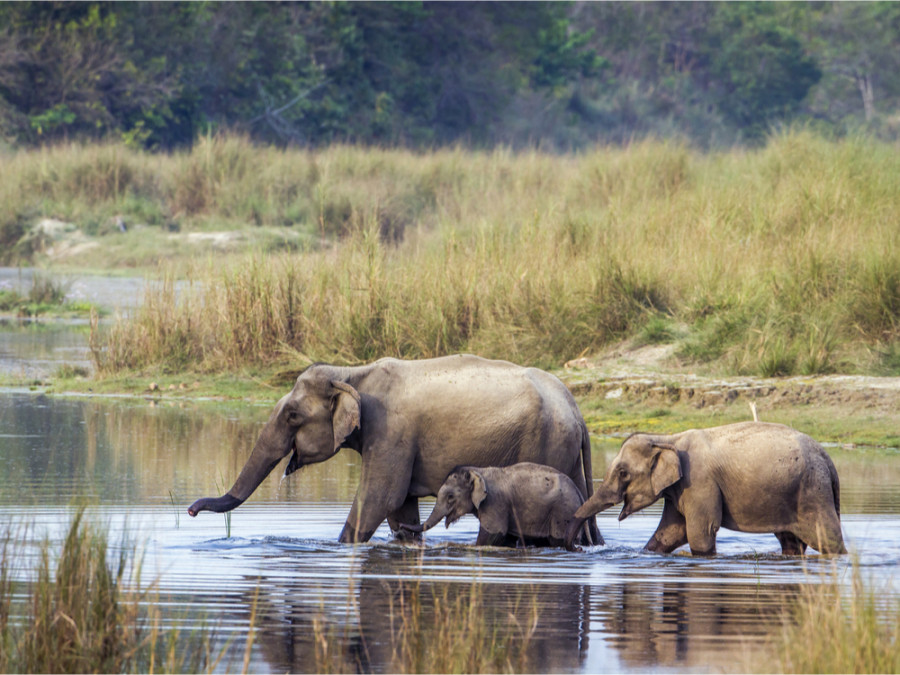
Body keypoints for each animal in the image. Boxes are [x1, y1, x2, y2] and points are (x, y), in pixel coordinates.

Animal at [400, 462, 596, 552]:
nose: (401, 527)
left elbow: (492, 536)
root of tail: (579, 493)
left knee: (557, 540)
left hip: (563, 512)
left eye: (450, 497)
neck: (478, 470)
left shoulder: (495, 503)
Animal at [568, 422, 848, 560]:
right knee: (791, 542)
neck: (668, 439)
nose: (577, 548)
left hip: (812, 492)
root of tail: (829, 461)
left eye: (623, 473)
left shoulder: (700, 482)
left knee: (828, 538)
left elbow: (699, 531)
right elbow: (670, 532)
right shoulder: (680, 489)